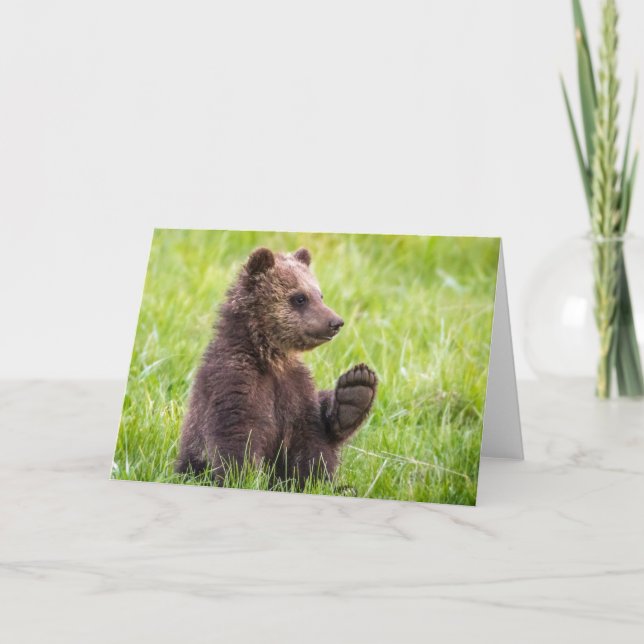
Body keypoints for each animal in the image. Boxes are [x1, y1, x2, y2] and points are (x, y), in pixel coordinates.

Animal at [176, 246, 377, 488]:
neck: (270, 358)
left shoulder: (296, 388)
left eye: (320, 295)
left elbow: (312, 442)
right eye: (299, 298)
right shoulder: (235, 380)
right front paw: (242, 478)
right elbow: (237, 435)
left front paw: (356, 390)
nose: (336, 322)